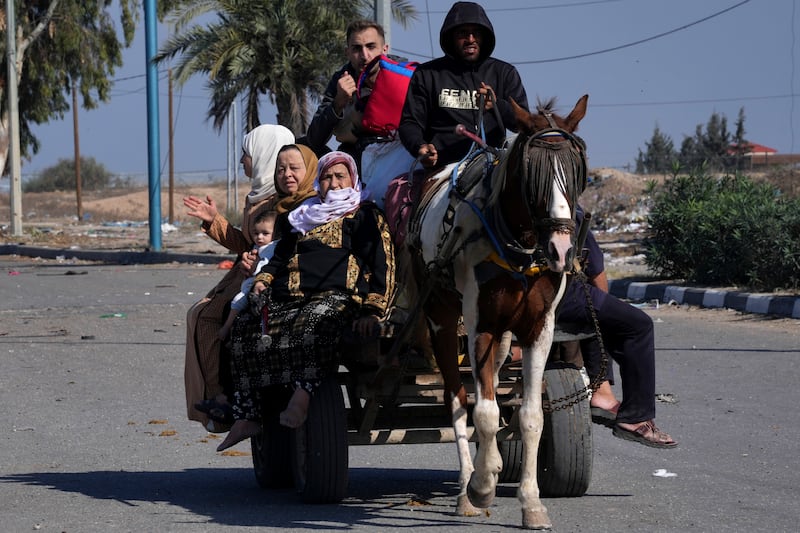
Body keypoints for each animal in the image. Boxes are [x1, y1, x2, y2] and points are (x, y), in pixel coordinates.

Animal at [406, 95, 588, 528]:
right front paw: (483, 484)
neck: (518, 249)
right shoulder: (480, 325)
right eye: (531, 173)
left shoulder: (538, 329)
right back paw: (466, 487)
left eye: (577, 171)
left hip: (505, 335)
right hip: (441, 317)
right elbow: (484, 412)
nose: (560, 250)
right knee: (457, 399)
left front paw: (532, 503)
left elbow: (531, 416)